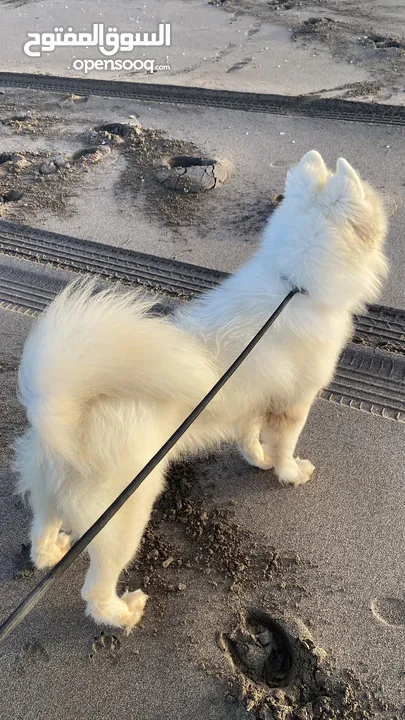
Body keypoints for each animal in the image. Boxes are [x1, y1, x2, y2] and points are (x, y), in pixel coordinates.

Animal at [12, 153, 386, 632]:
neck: (294, 285)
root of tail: (64, 414)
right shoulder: (294, 403)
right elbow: (285, 445)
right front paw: (288, 472)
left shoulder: (255, 398)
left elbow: (250, 435)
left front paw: (257, 459)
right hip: (123, 517)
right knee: (94, 591)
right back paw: (123, 613)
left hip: (48, 493)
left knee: (40, 533)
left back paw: (52, 549)